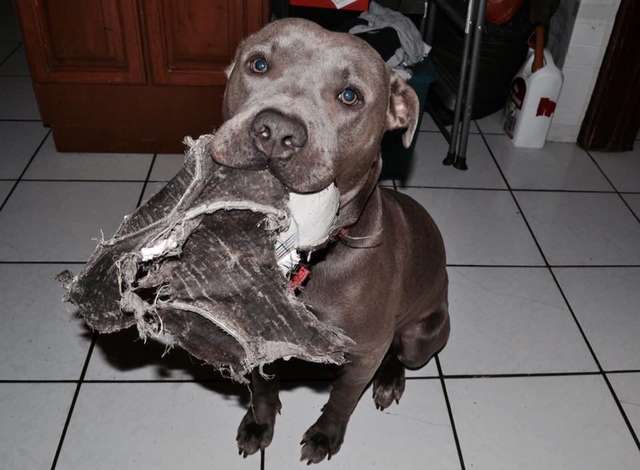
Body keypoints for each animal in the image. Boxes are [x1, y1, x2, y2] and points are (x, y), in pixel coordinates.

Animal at [211, 17, 450, 462]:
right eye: (258, 64)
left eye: (350, 95)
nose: (276, 132)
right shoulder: (255, 331)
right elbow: (262, 386)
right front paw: (259, 422)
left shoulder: (365, 350)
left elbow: (341, 399)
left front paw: (324, 435)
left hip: (420, 335)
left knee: (399, 353)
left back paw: (390, 380)